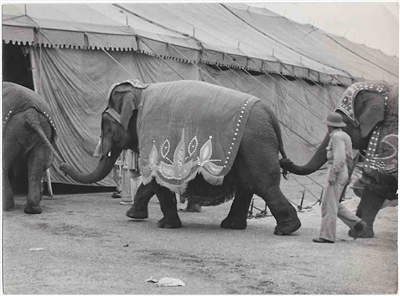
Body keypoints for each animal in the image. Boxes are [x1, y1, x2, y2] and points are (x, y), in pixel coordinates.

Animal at [2, 82, 58, 214]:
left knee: (5, 165)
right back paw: (33, 210)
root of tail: (30, 113)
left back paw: (7, 207)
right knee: (36, 166)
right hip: (44, 128)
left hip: (10, 130)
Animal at [61, 79, 302, 236]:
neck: (140, 91)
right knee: (248, 185)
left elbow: (156, 179)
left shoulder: (153, 133)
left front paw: (164, 225)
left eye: (106, 126)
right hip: (252, 147)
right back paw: (233, 226)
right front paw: (133, 215)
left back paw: (285, 229)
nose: (62, 164)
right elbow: (151, 182)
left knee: (264, 184)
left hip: (256, 144)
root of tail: (270, 114)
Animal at [280, 81, 398, 238]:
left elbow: (376, 177)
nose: (284, 162)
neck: (385, 88)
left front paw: (360, 233)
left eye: (344, 122)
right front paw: (358, 231)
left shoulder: (389, 129)